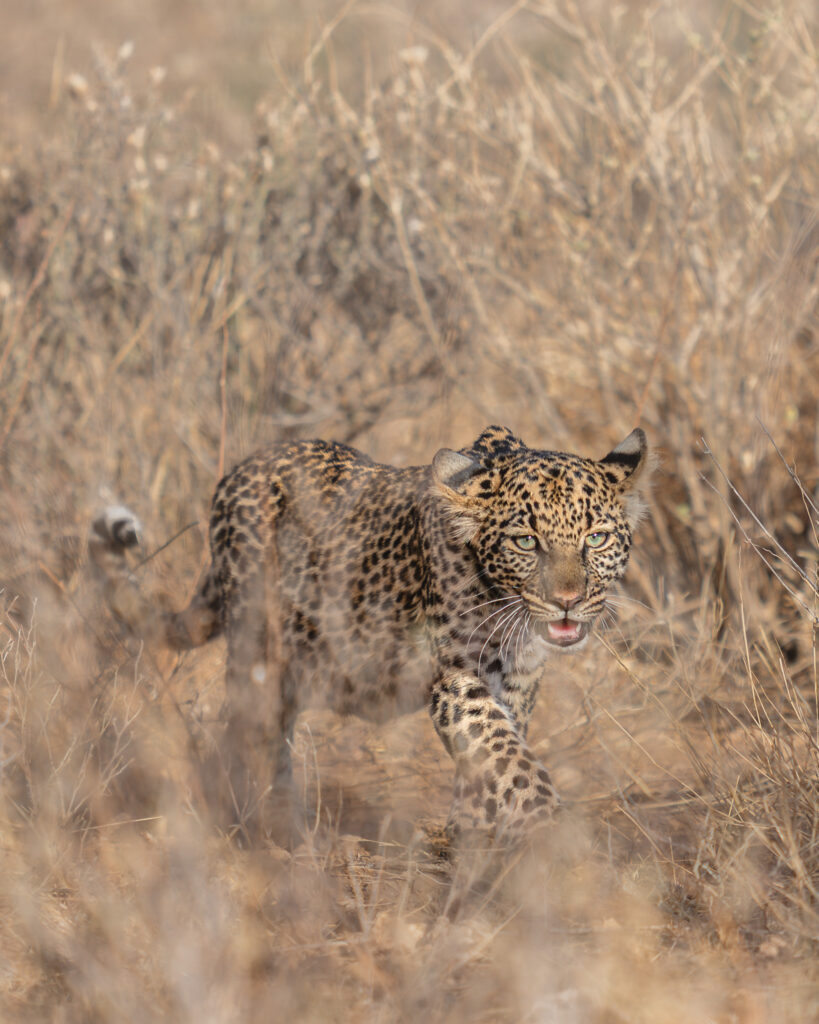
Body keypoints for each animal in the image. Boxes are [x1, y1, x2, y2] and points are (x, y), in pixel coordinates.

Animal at [90, 425, 650, 844]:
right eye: (526, 542)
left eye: (596, 538)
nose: (568, 600)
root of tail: (238, 470)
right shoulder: (456, 680)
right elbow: (507, 757)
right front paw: (550, 825)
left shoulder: (516, 682)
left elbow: (492, 758)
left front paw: (471, 830)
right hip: (259, 649)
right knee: (253, 732)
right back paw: (269, 825)